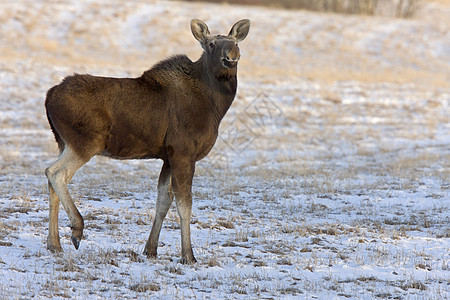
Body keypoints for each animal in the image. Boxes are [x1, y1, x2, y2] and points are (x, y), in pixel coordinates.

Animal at [44, 19, 250, 262]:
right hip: (86, 141)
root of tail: (48, 97)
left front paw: (150, 249)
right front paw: (188, 255)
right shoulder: (183, 152)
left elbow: (163, 202)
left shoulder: (168, 157)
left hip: (63, 142)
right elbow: (184, 205)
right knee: (55, 173)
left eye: (235, 42)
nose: (231, 56)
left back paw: (54, 244)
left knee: (52, 181)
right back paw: (76, 229)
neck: (214, 107)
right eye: (211, 44)